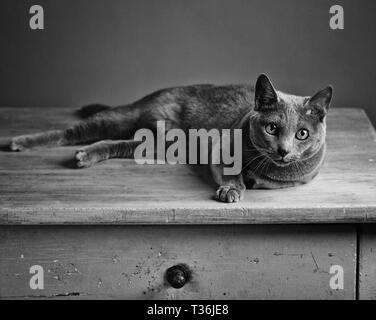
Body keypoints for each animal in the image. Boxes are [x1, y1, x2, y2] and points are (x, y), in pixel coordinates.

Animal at [9, 74, 332, 202]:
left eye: (302, 133)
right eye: (272, 128)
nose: (283, 150)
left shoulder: (298, 178)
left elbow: (268, 179)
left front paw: (250, 180)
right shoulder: (222, 148)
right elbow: (233, 171)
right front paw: (232, 189)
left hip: (157, 144)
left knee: (115, 144)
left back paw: (85, 156)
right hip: (124, 118)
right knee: (72, 132)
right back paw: (19, 142)